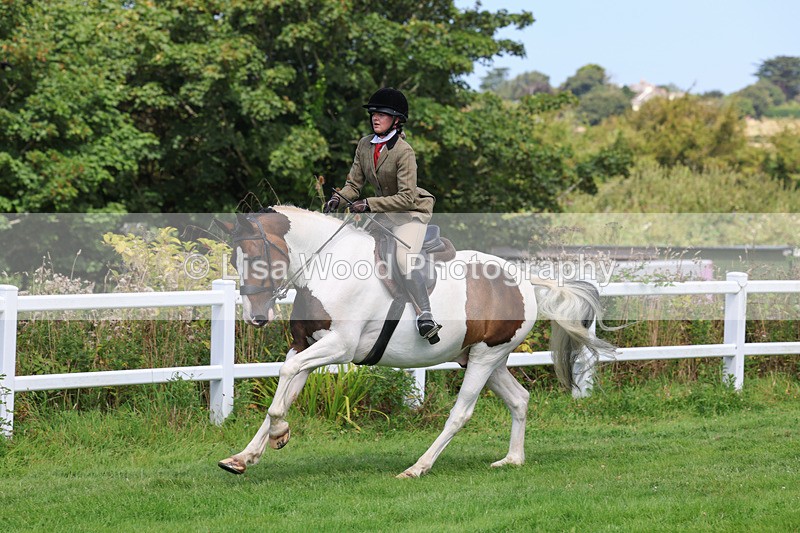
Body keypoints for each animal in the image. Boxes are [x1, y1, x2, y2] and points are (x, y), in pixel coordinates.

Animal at [214, 206, 615, 478]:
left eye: (256, 256)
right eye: (234, 259)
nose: (256, 316)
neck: (324, 264)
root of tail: (523, 280)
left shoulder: (339, 346)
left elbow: (284, 382)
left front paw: (280, 433)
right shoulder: (304, 345)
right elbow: (283, 389)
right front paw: (244, 457)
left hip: (486, 357)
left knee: (461, 413)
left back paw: (418, 467)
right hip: (482, 357)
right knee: (519, 399)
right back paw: (512, 459)